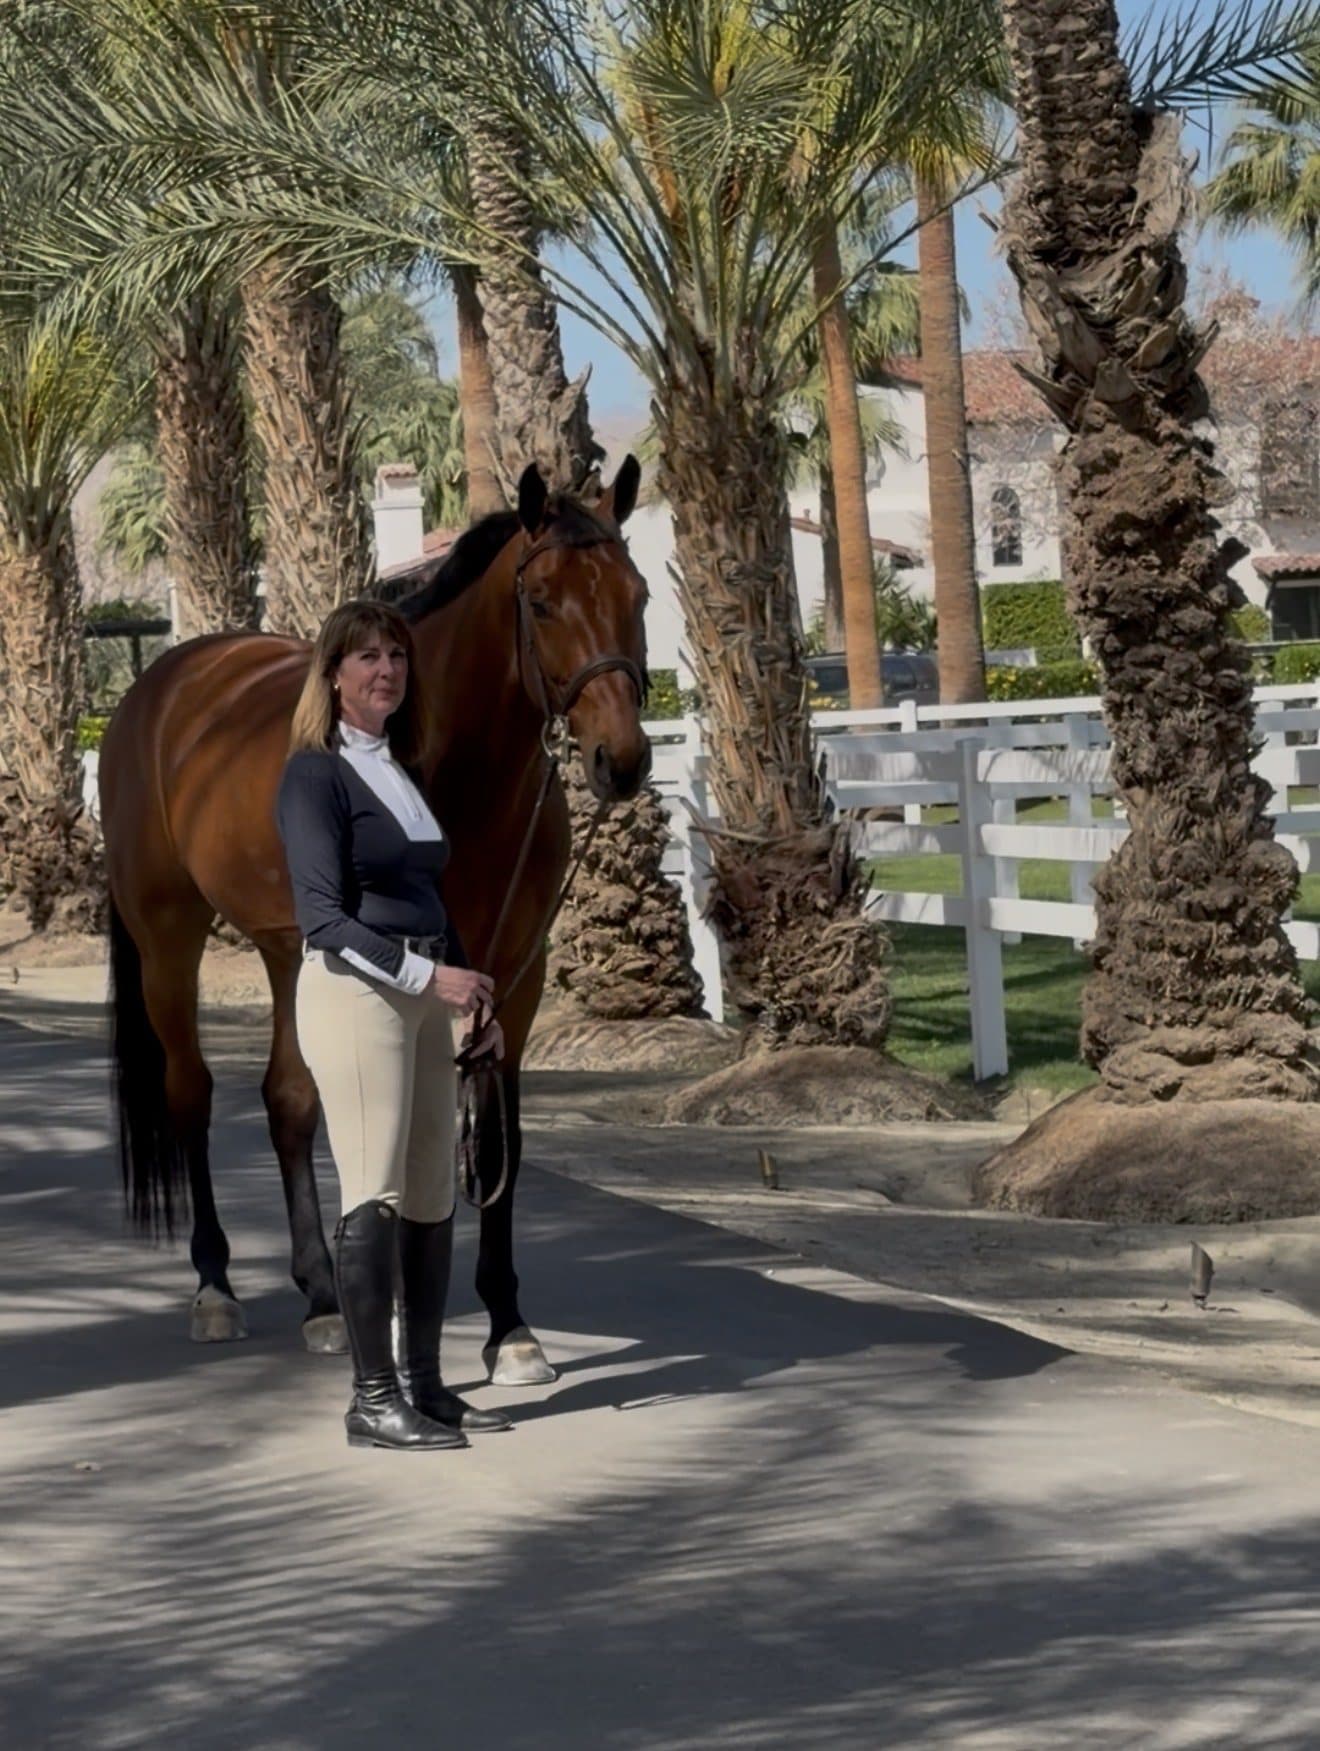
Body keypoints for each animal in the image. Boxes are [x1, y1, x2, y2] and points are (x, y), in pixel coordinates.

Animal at [99, 458, 650, 1385]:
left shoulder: (517, 977)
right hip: (167, 939)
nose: (625, 759)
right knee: (193, 1092)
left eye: (638, 594)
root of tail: (159, 687)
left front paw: (509, 1326)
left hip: (289, 951)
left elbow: (495, 1139)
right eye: (542, 603)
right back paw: (216, 1287)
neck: (458, 774)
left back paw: (322, 1295)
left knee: (287, 1100)